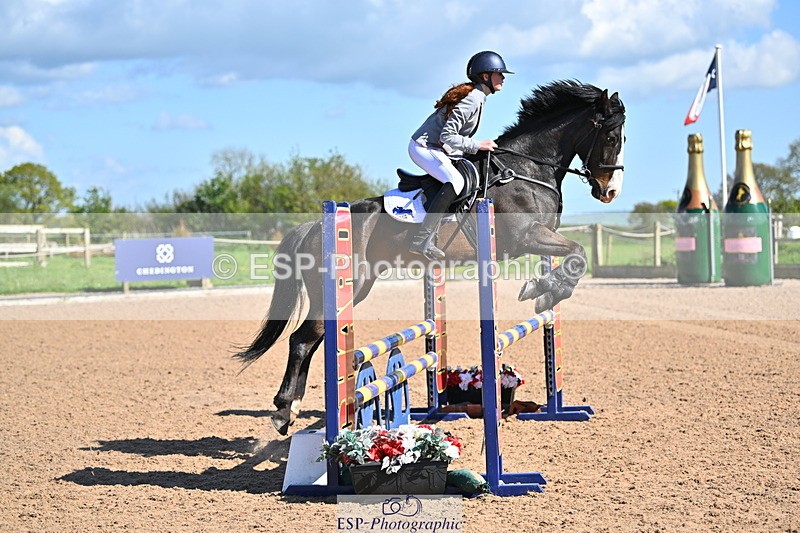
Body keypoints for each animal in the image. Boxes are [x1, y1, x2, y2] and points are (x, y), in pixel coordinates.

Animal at [236, 80, 626, 435]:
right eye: (611, 138)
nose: (609, 192)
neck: (526, 169)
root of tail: (315, 226)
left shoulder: (540, 236)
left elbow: (573, 258)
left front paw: (546, 289)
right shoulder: (528, 236)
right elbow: (578, 254)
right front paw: (543, 290)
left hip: (356, 288)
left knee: (314, 339)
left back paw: (292, 408)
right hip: (341, 287)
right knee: (303, 340)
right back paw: (284, 411)